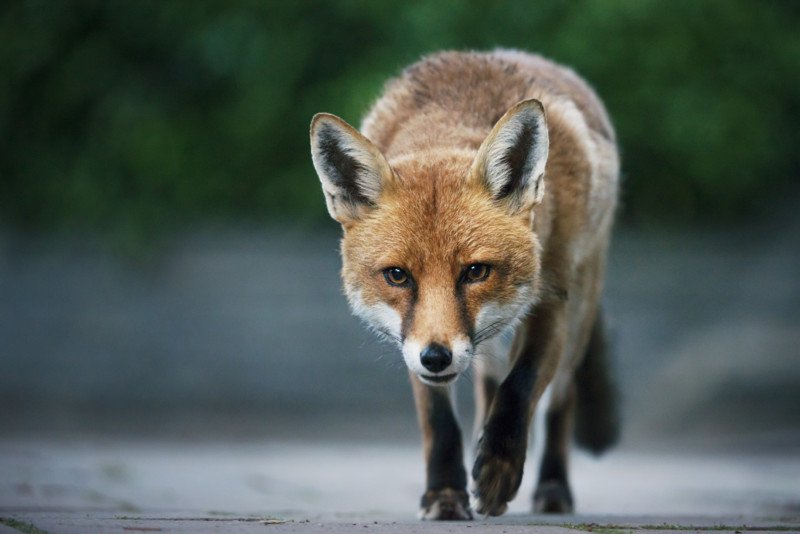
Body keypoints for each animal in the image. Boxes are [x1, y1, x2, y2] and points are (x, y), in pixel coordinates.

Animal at [308, 50, 620, 520]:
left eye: (475, 271)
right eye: (397, 275)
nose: (437, 358)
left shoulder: (551, 299)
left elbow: (520, 386)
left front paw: (498, 469)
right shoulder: (412, 340)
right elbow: (440, 423)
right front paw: (445, 493)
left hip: (580, 311)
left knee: (559, 400)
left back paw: (552, 486)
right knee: (489, 382)